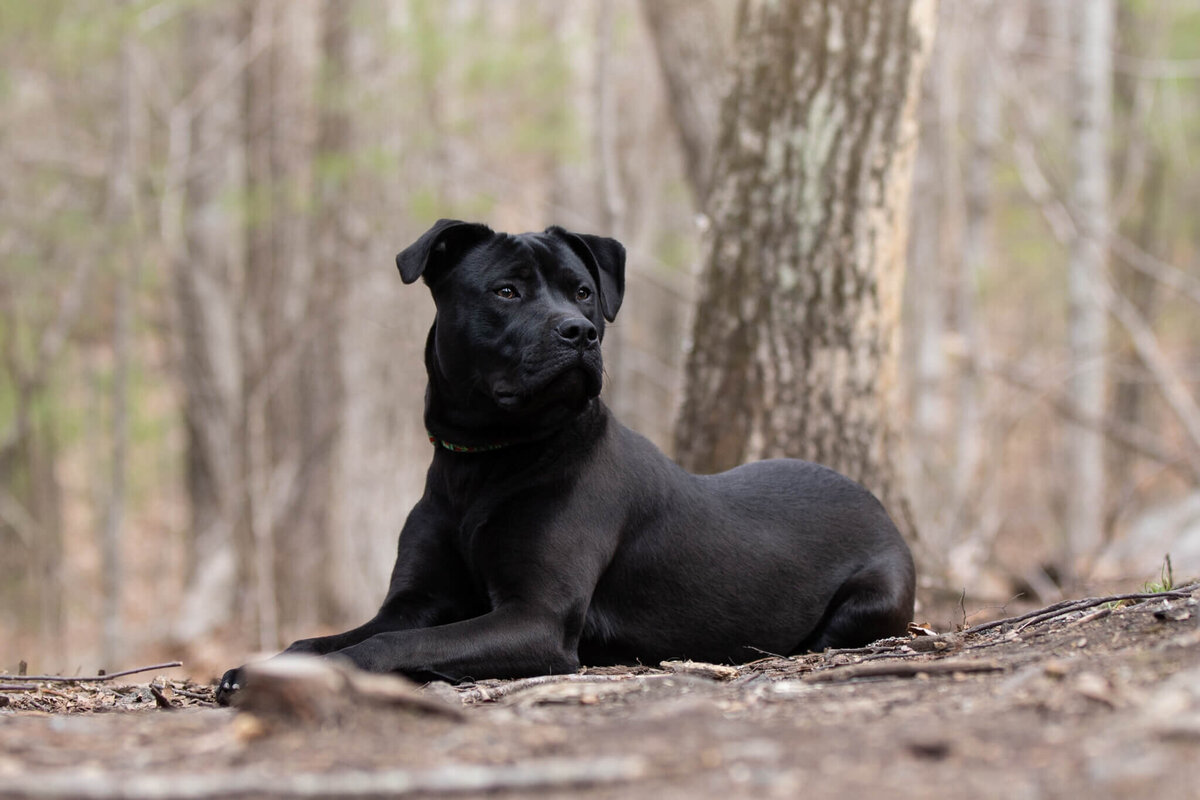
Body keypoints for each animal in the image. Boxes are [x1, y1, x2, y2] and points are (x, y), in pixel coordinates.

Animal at [213, 219, 907, 700]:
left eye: (583, 292)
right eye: (506, 290)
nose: (581, 332)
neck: (485, 462)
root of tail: (875, 501)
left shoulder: (535, 618)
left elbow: (390, 644)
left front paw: (329, 672)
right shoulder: (416, 599)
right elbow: (331, 634)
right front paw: (257, 666)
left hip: (874, 600)